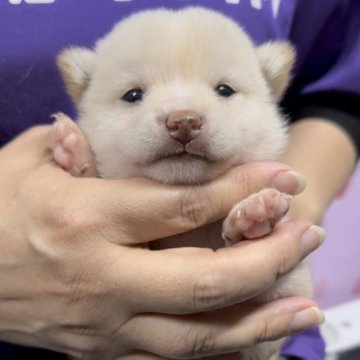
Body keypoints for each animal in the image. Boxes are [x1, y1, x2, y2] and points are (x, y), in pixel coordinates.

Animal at [51, 8, 312, 360]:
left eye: (224, 90)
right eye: (133, 95)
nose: (184, 121)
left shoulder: (287, 293)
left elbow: (268, 288)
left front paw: (257, 213)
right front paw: (74, 151)